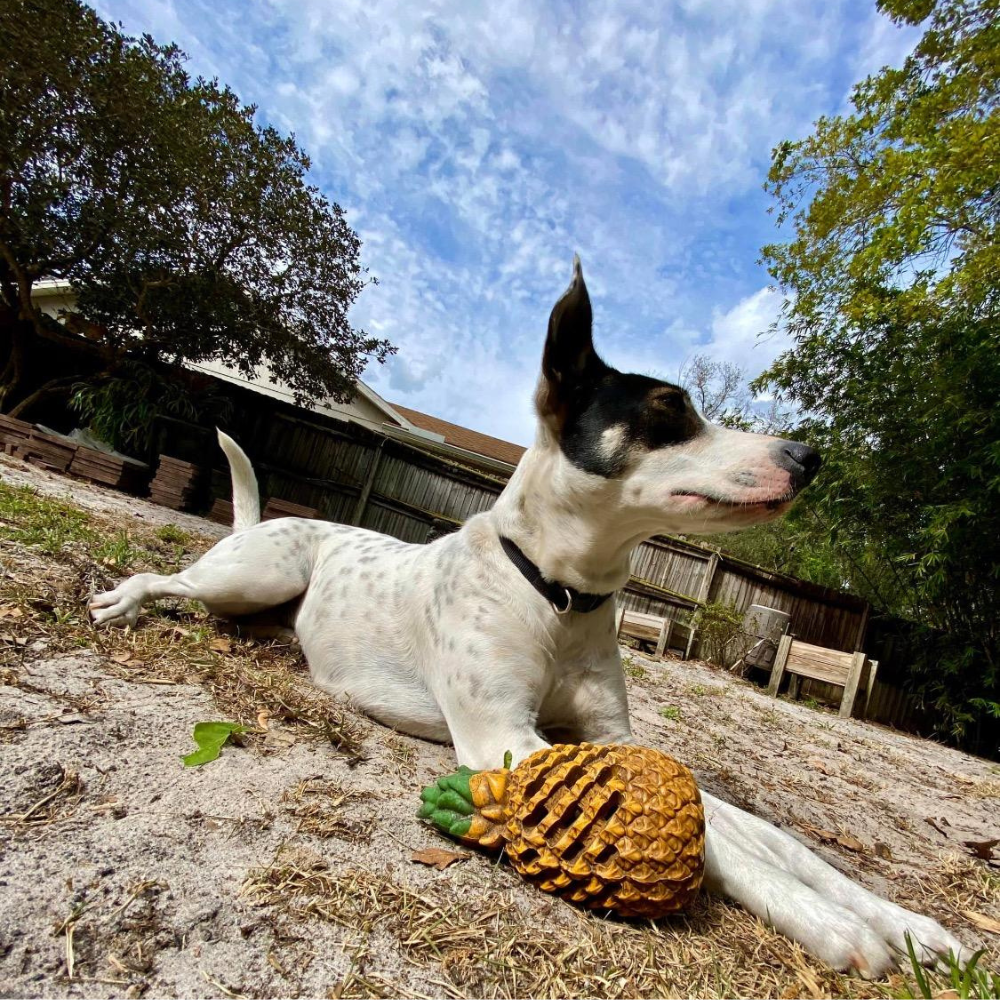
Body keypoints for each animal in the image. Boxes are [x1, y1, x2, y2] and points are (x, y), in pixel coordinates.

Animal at [90, 256, 964, 976]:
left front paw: (908, 924)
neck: (559, 594)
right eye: (669, 411)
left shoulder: (613, 741)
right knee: (170, 577)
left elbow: (767, 833)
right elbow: (715, 834)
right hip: (257, 571)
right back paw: (124, 600)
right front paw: (833, 925)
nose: (809, 458)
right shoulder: (506, 737)